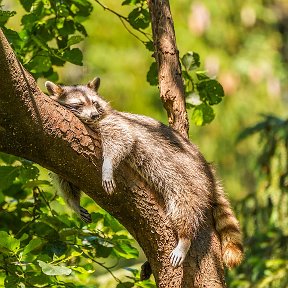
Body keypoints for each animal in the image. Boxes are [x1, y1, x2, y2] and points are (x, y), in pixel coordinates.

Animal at [45, 77, 243, 268]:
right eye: (79, 104)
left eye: (94, 103)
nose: (94, 114)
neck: (92, 121)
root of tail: (207, 168)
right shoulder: (61, 150)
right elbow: (64, 177)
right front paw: (74, 203)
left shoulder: (114, 123)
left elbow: (122, 139)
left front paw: (107, 166)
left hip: (189, 177)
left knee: (184, 205)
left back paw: (185, 237)